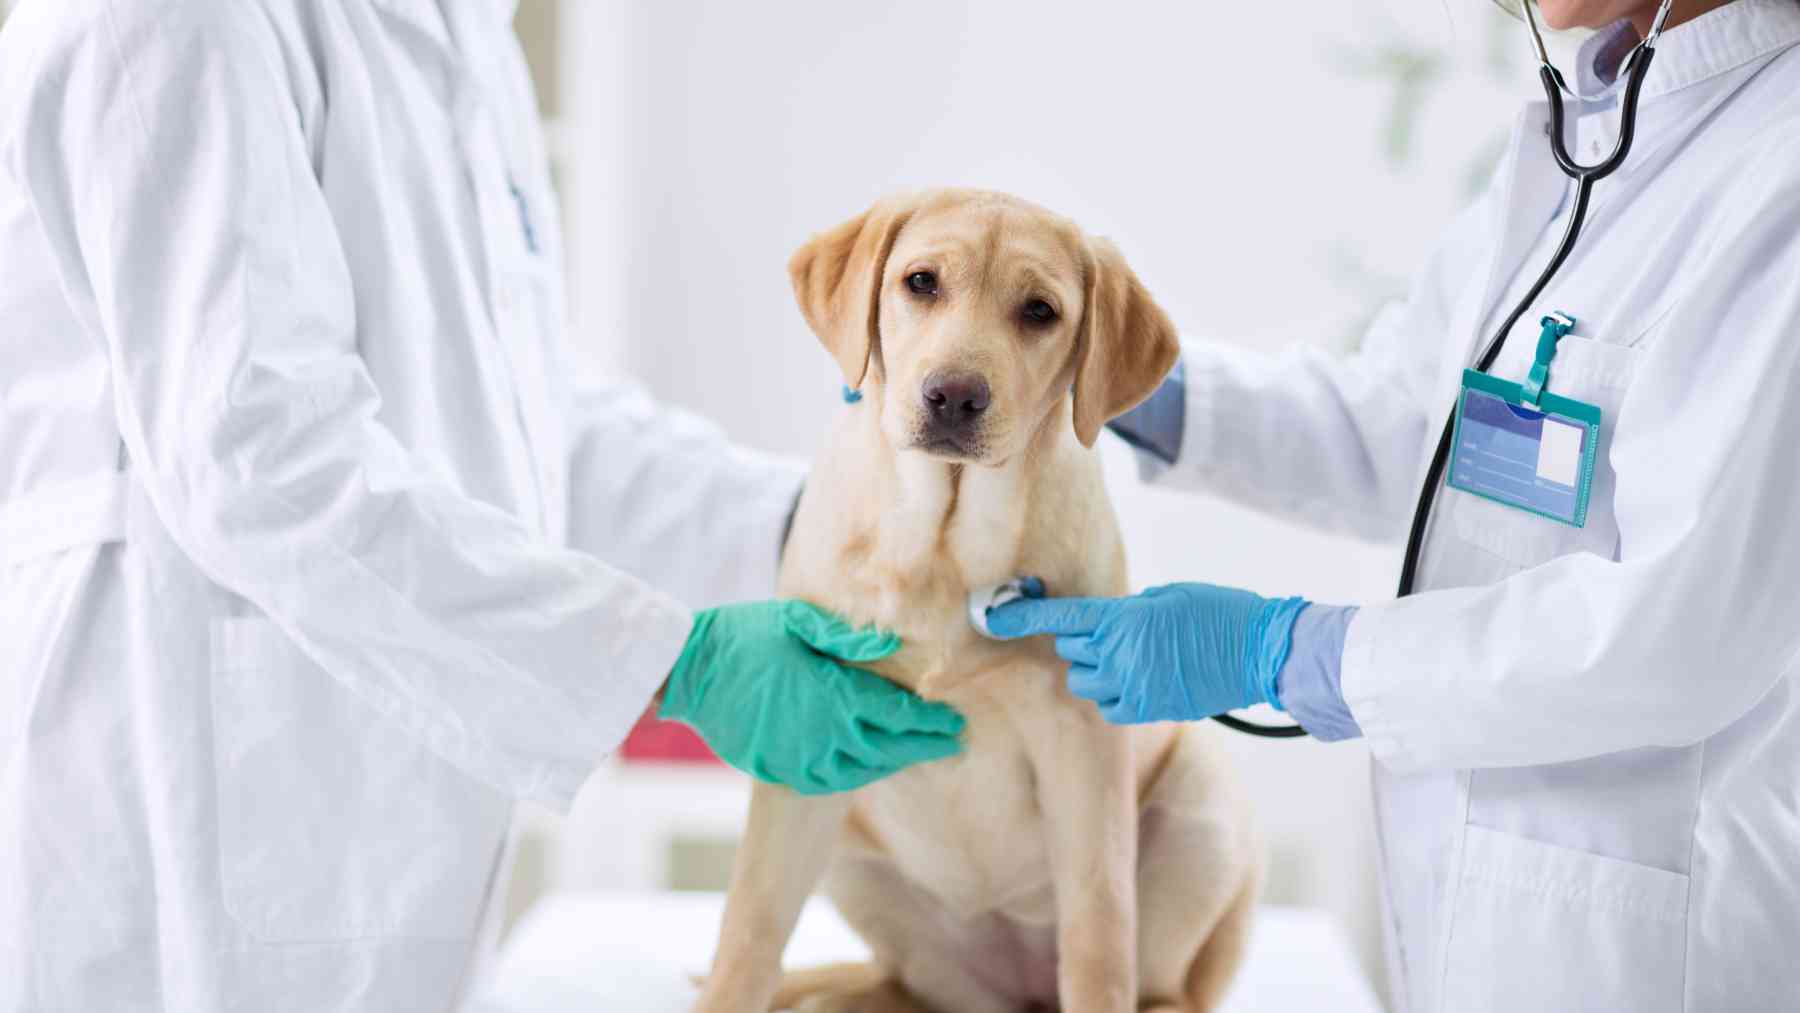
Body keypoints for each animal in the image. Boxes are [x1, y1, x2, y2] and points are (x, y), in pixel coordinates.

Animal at [694, 192, 1260, 1013]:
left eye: (1040, 310)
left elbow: (1099, 938)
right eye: (921, 282)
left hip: (1202, 793)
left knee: (1158, 983)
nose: (954, 394)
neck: (943, 540)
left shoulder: (1082, 749)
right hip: (854, 850)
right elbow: (749, 928)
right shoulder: (804, 737)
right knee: (904, 983)